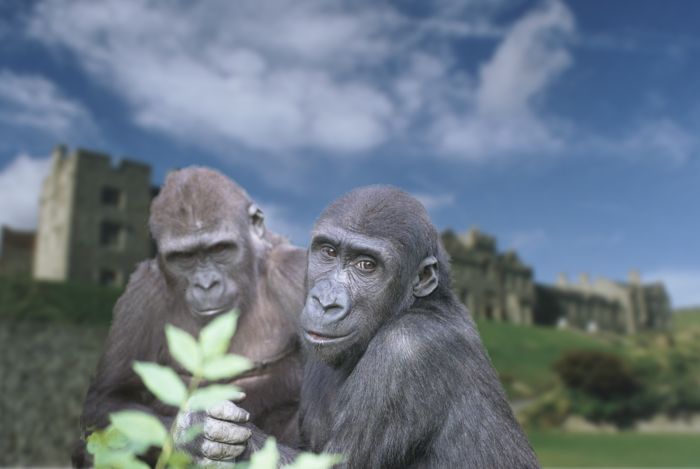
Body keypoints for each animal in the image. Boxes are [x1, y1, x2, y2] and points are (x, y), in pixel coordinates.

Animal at [72, 167, 308, 464]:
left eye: (220, 249)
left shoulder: (296, 272)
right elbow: (107, 398)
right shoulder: (141, 293)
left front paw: (246, 445)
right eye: (184, 257)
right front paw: (191, 432)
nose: (206, 285)